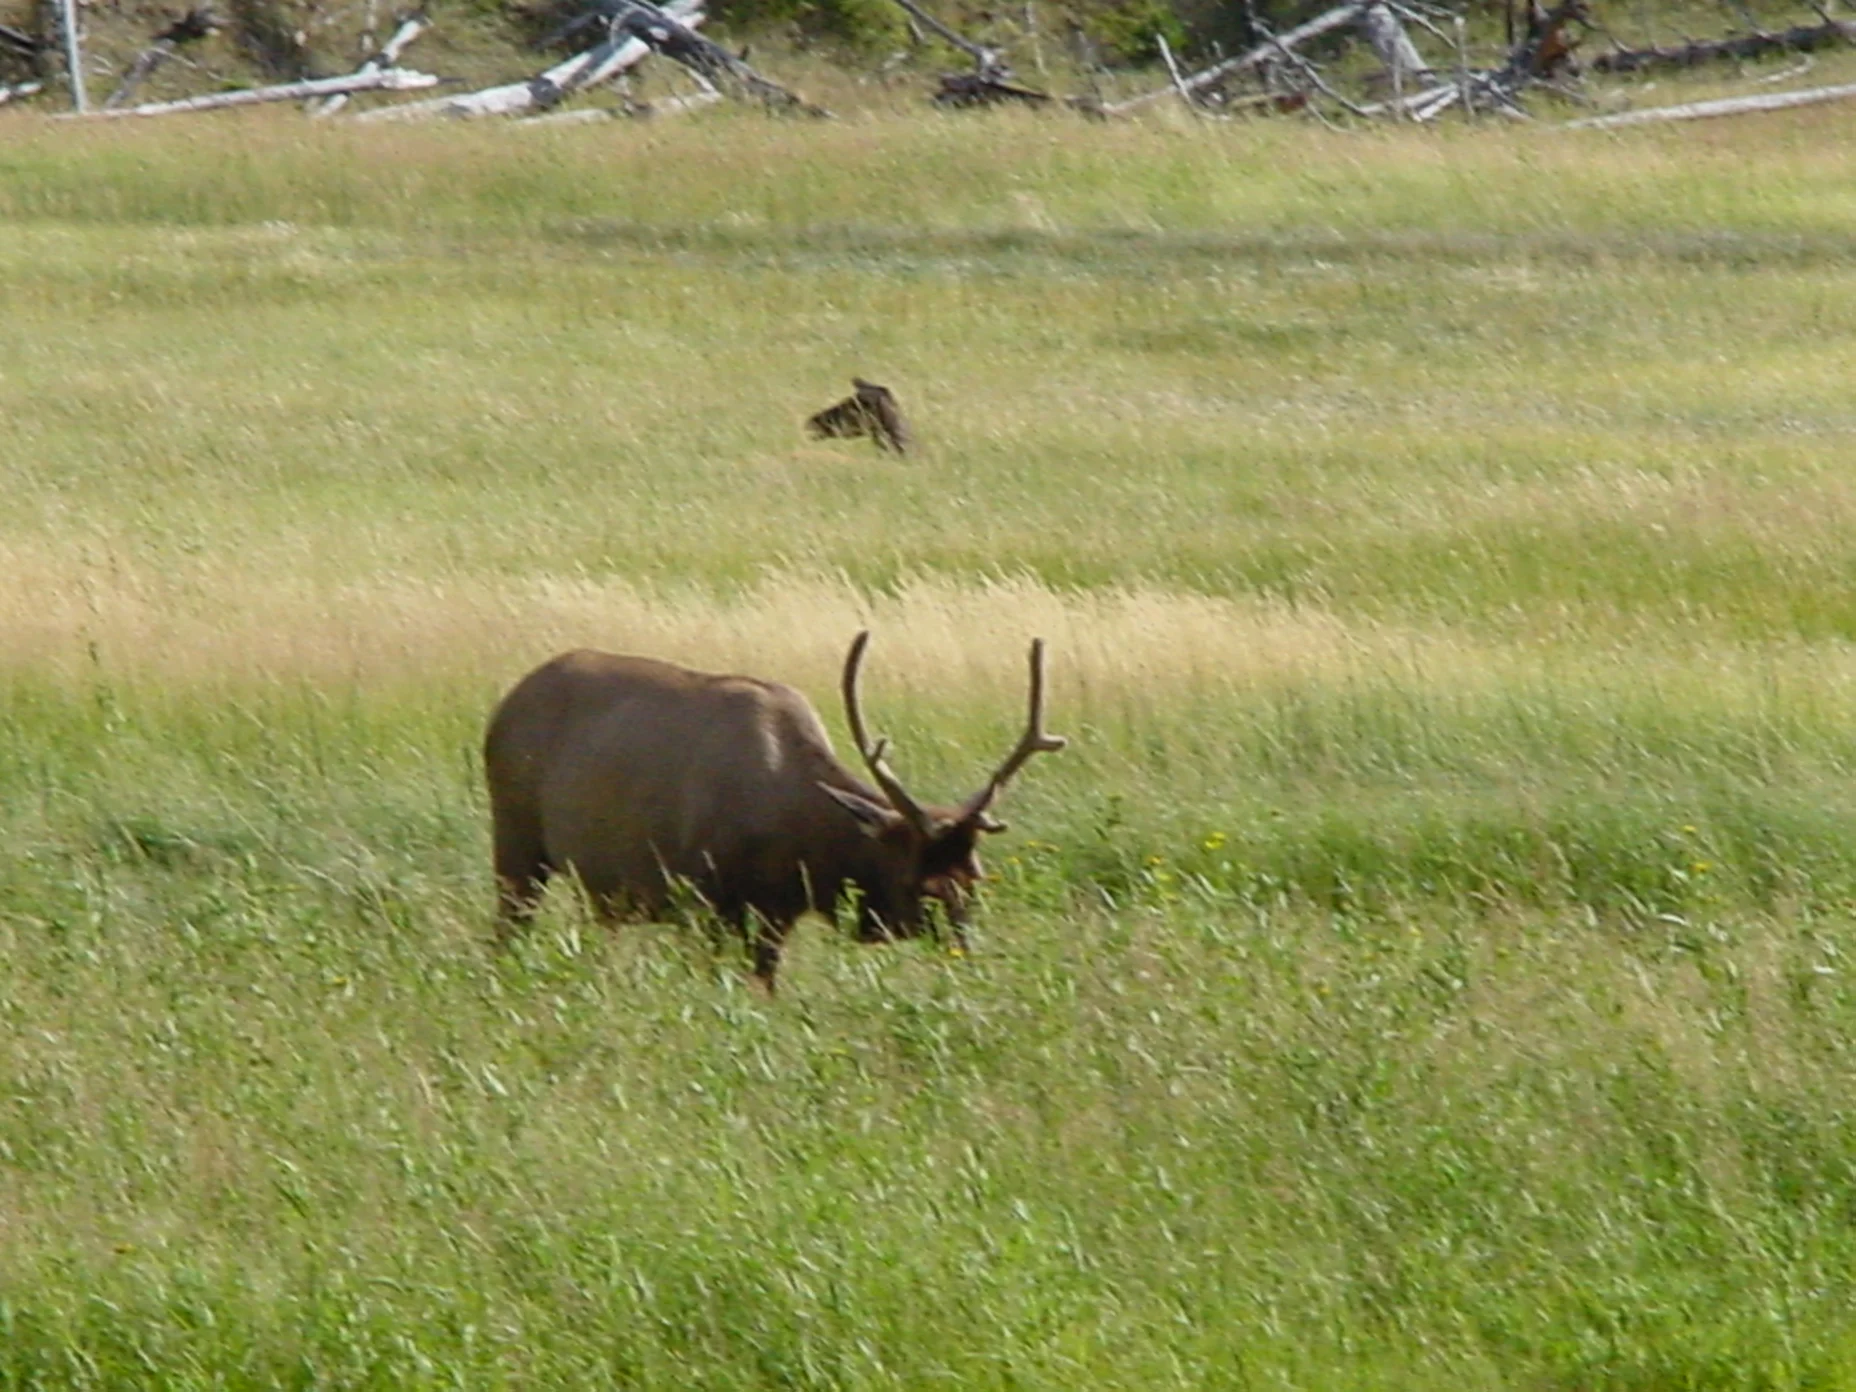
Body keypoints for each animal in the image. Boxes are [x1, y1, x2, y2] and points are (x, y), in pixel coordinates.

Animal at [483, 631, 1066, 990]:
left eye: (974, 880)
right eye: (920, 886)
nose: (966, 956)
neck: (807, 849)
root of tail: (502, 707)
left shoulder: (774, 914)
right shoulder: (704, 898)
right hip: (514, 840)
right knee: (506, 930)